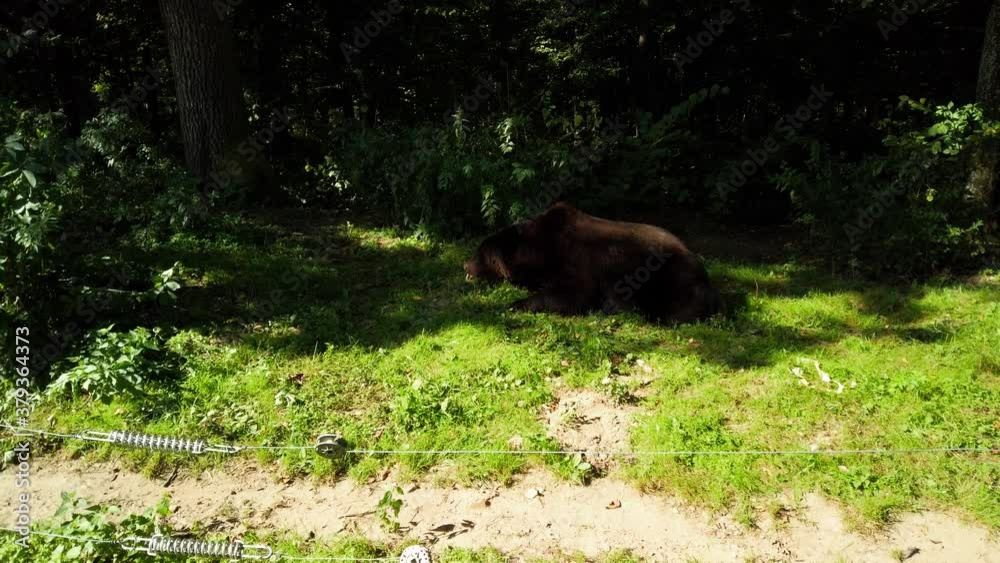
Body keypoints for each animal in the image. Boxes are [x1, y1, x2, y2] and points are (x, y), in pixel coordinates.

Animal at [463, 202, 723, 323]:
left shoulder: (577, 261)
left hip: (669, 274)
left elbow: (573, 294)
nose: (465, 265)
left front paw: (516, 304)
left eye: (479, 252)